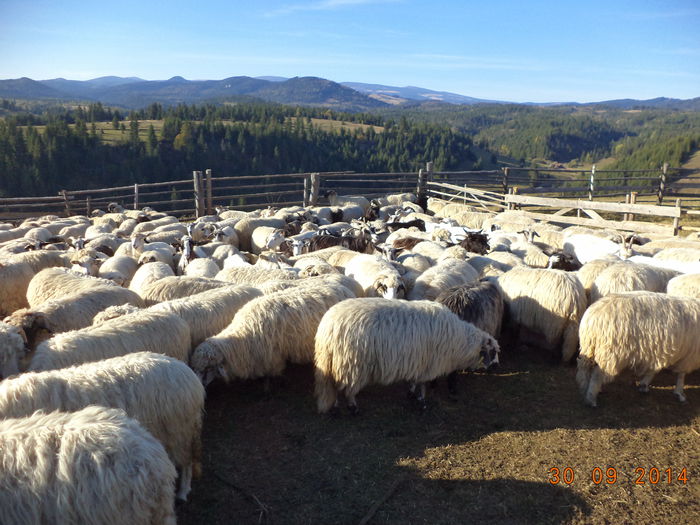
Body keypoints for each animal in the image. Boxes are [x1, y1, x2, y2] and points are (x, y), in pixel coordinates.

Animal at [191, 282, 356, 384]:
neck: (241, 338)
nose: (201, 388)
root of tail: (346, 289)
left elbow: (272, 375)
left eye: (207, 368)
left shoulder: (272, 357)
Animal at [314, 298, 500, 414]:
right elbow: (423, 385)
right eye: (493, 351)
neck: (460, 340)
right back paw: (352, 408)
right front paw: (422, 402)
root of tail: (327, 328)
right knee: (343, 389)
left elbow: (413, 381)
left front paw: (411, 393)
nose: (497, 367)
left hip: (335, 362)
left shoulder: (417, 362)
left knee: (333, 385)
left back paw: (336, 408)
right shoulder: (429, 365)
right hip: (351, 365)